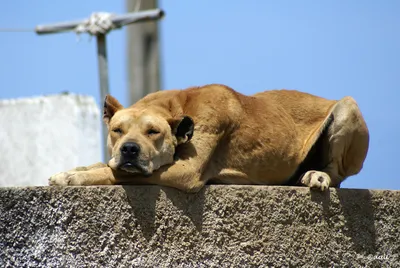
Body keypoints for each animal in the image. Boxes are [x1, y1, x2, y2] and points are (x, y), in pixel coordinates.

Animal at [48, 85, 370, 192]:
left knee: (336, 174)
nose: (129, 149)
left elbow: (115, 173)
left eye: (153, 132)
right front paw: (71, 170)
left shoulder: (185, 171)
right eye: (117, 130)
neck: (176, 107)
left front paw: (73, 178)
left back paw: (318, 175)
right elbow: (104, 165)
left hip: (347, 108)